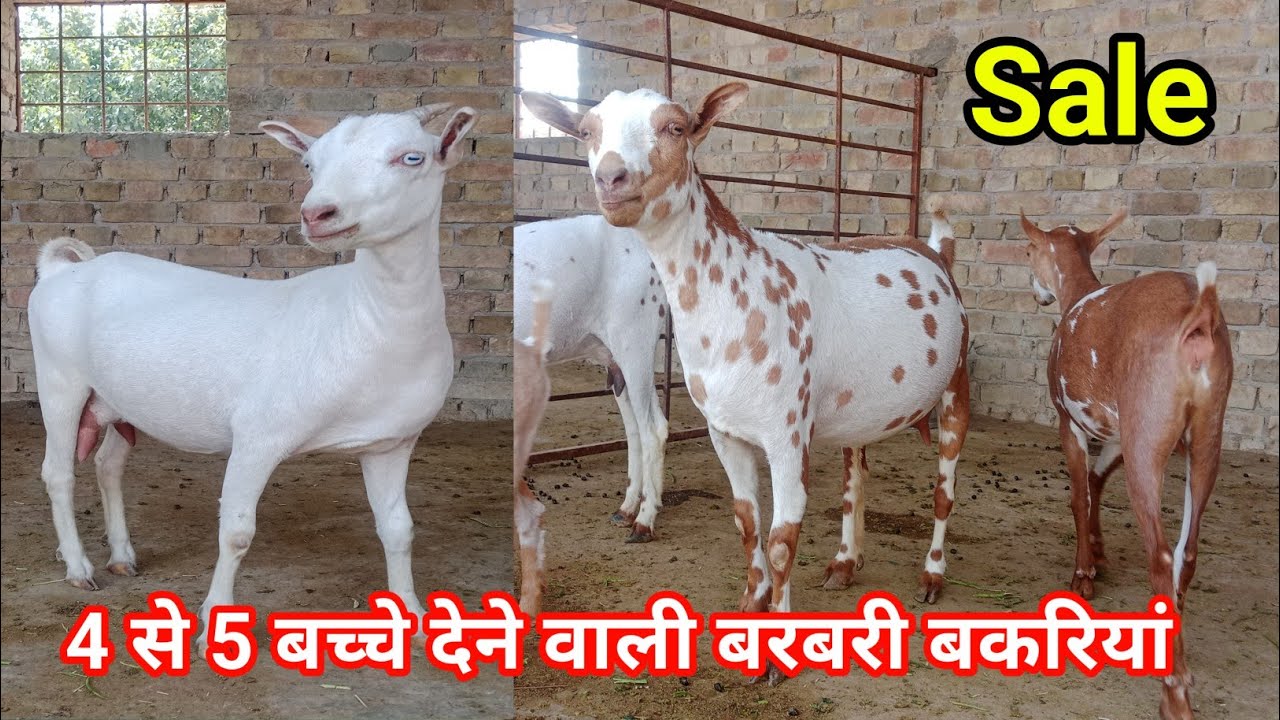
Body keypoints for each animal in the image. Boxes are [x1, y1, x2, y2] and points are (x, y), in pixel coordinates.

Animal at [27, 104, 477, 648]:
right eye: (309, 164)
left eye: (412, 157)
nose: (317, 214)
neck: (362, 318)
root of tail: (63, 269)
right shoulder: (258, 436)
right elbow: (237, 532)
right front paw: (214, 624)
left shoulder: (391, 442)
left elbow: (398, 529)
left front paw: (410, 610)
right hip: (60, 381)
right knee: (58, 472)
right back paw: (79, 567)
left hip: (117, 399)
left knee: (108, 465)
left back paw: (122, 557)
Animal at [514, 216, 670, 542]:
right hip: (617, 361)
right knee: (634, 430)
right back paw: (626, 509)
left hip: (635, 340)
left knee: (653, 429)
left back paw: (644, 521)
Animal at [1020, 211, 1231, 720]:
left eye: (1029, 250)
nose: (1037, 293)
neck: (1078, 295)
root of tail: (1200, 316)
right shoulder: (1114, 432)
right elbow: (1097, 481)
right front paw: (1098, 554)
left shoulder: (1070, 420)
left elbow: (1079, 493)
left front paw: (1083, 576)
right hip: (1207, 433)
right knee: (1186, 552)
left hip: (1147, 433)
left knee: (1160, 553)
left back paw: (1173, 691)